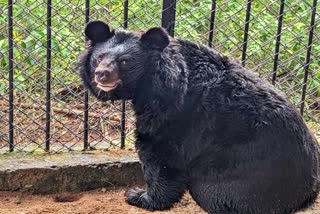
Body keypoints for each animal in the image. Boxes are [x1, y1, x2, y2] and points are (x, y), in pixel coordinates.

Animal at [78, 21, 320, 214]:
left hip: (241, 179)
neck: (151, 82)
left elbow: (159, 155)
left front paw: (138, 196)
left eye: (125, 61)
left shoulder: (173, 112)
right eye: (99, 58)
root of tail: (308, 192)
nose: (101, 74)